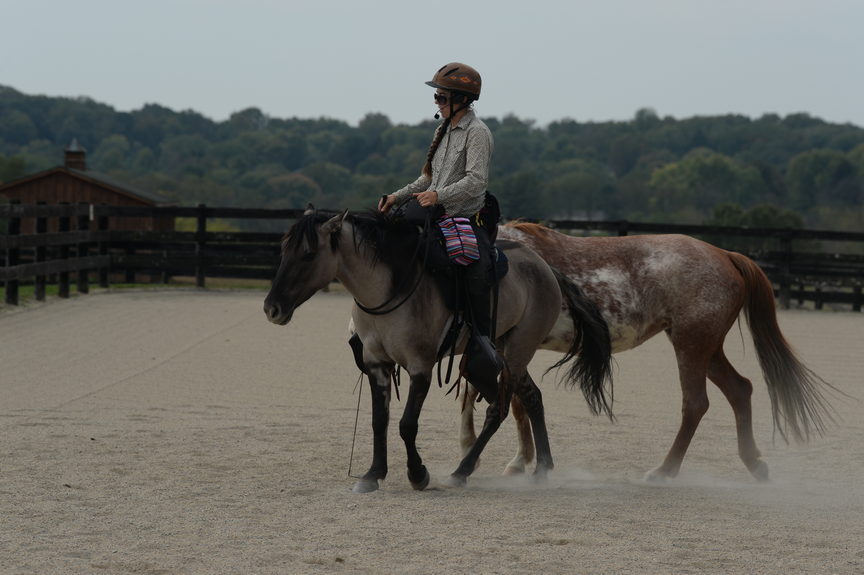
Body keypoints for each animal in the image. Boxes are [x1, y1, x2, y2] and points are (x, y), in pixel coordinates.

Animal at [263, 209, 613, 493]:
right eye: (284, 249)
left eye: (309, 254)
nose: (272, 308)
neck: (391, 288)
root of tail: (545, 268)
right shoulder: (378, 365)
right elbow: (379, 421)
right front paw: (373, 474)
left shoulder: (421, 367)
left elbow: (407, 424)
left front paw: (418, 474)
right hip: (508, 350)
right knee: (532, 398)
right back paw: (541, 469)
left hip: (517, 351)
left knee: (497, 409)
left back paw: (462, 471)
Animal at [461, 221, 836, 482]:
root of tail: (725, 255)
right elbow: (517, 400)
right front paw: (515, 458)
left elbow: (510, 399)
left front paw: (480, 453)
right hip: (707, 349)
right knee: (740, 390)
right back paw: (754, 463)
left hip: (691, 345)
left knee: (695, 404)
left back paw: (665, 471)